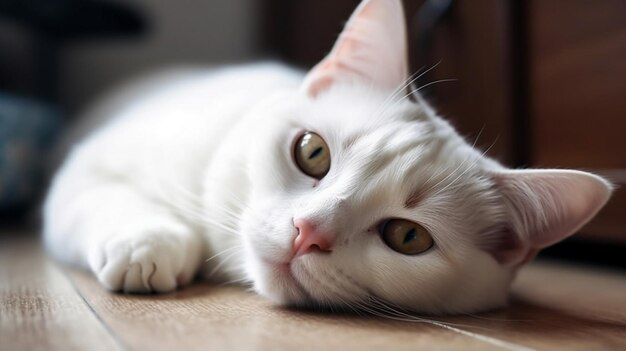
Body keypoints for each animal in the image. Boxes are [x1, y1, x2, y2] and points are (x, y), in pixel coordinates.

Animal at [44, 0, 608, 316]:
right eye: (312, 152)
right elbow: (103, 193)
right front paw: (147, 244)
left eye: (408, 237)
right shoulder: (86, 163)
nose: (307, 232)